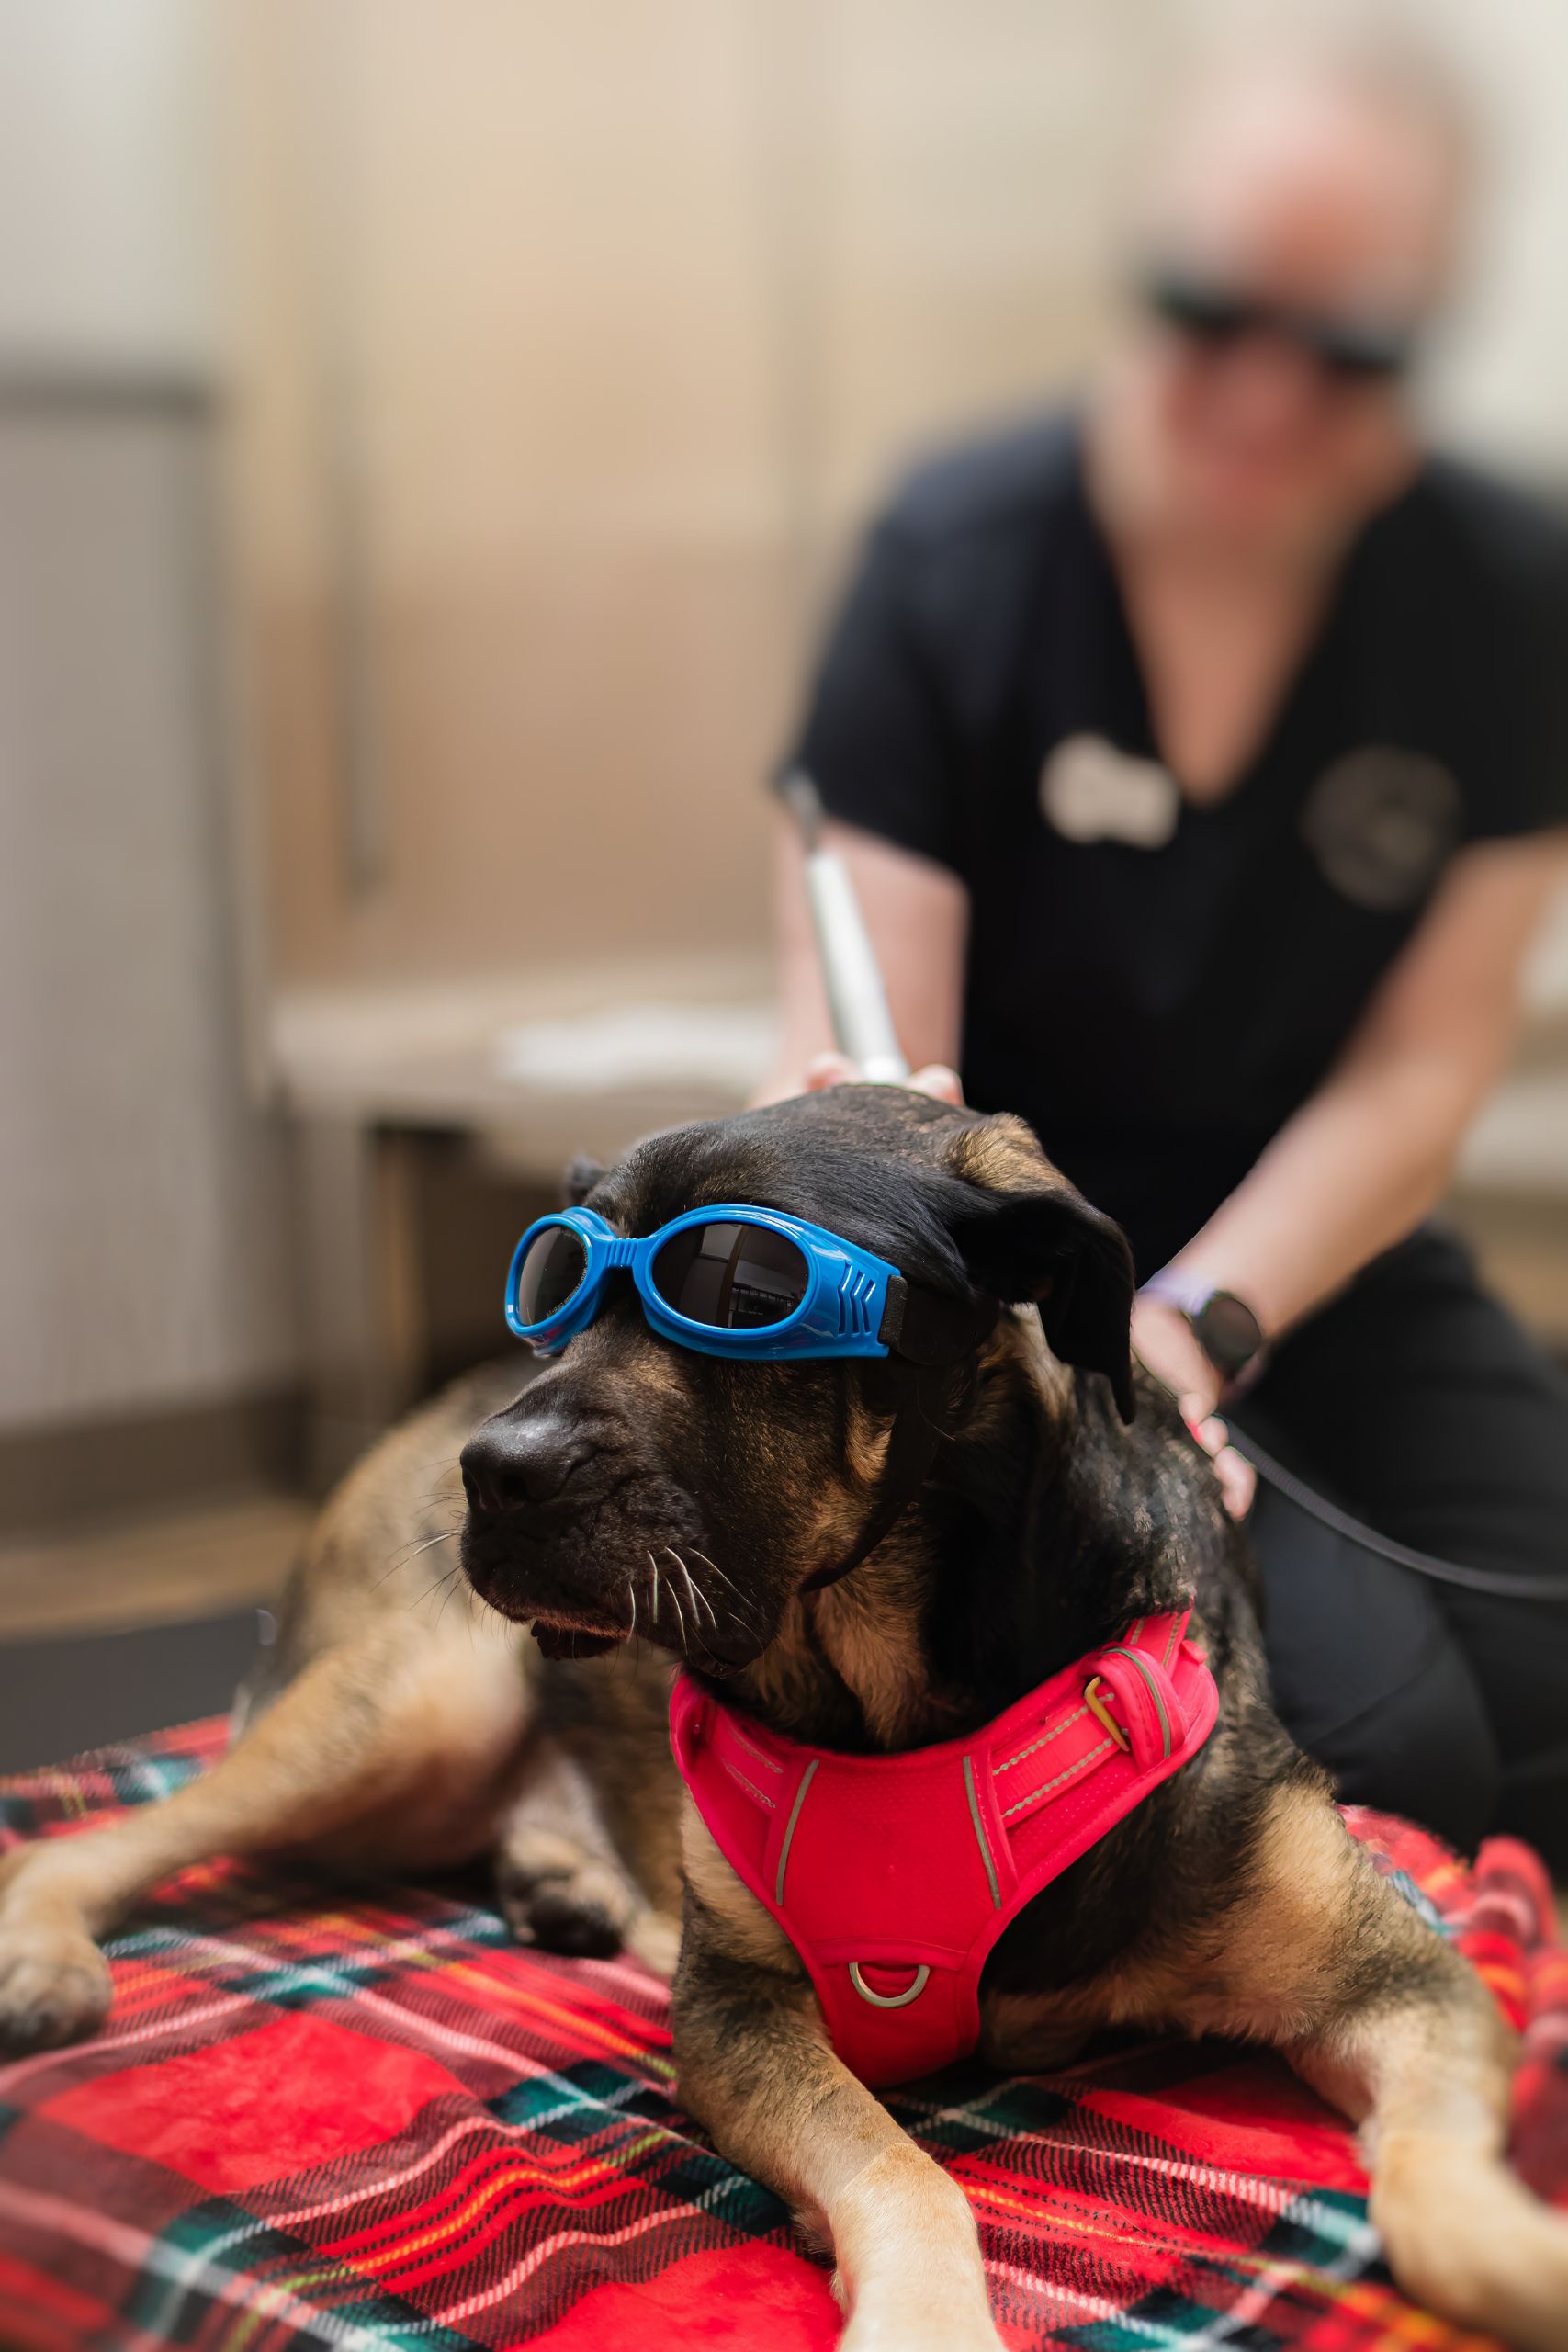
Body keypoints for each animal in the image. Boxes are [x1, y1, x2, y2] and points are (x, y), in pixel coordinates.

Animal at [3, 1086, 1568, 2352]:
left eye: (740, 1285)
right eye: (556, 1282)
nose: (490, 1474)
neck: (898, 1698)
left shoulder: (1397, 1979)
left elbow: (1437, 2187)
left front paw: (1517, 2263)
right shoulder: (737, 2016)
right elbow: (899, 2169)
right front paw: (927, 2320)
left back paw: (568, 1883)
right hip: (410, 1707)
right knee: (112, 1835)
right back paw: (46, 1952)